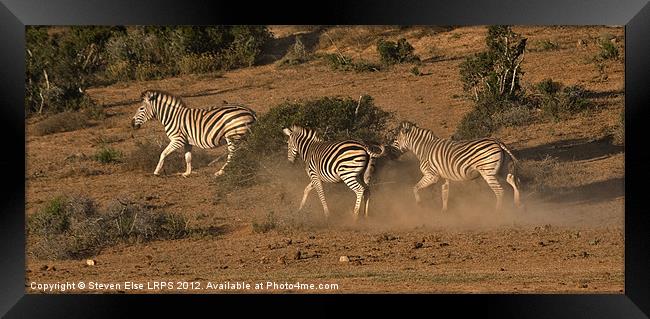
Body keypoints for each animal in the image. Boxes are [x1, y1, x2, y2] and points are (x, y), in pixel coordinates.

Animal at [390, 121, 520, 214]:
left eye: (395, 139)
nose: (390, 154)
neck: (424, 148)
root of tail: (498, 142)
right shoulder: (444, 178)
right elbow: (445, 194)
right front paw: (444, 211)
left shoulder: (431, 175)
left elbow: (415, 188)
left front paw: (419, 205)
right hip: (502, 169)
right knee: (513, 182)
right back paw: (517, 205)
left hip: (488, 172)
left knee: (500, 191)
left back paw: (498, 212)